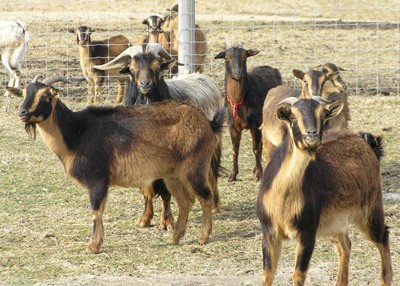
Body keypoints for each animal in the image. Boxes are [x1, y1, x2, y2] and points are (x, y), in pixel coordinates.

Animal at [7, 77, 225, 252]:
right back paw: (174, 238)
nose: (22, 113)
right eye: (23, 93)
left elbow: (96, 212)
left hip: (193, 169)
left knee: (205, 197)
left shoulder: (98, 180)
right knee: (185, 202)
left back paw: (203, 237)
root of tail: (208, 124)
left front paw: (93, 246)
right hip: (172, 175)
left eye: (45, 96)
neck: (76, 134)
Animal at [94, 44, 225, 231]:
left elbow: (164, 191)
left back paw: (214, 205)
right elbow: (147, 190)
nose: (145, 84)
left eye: (156, 68)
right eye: (132, 69)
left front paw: (167, 221)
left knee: (211, 173)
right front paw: (145, 219)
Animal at [214, 42, 282, 181]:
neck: (238, 102)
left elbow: (255, 148)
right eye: (227, 58)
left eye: (244, 57)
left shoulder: (255, 124)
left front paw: (260, 174)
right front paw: (232, 175)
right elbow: (235, 150)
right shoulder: (232, 126)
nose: (237, 73)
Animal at [256, 96, 390, 286]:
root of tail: (367, 144)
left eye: (322, 115)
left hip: (370, 209)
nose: (311, 135)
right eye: (293, 116)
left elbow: (298, 276)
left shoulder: (307, 233)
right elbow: (267, 274)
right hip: (334, 222)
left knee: (383, 236)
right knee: (345, 245)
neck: (282, 196)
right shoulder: (269, 233)